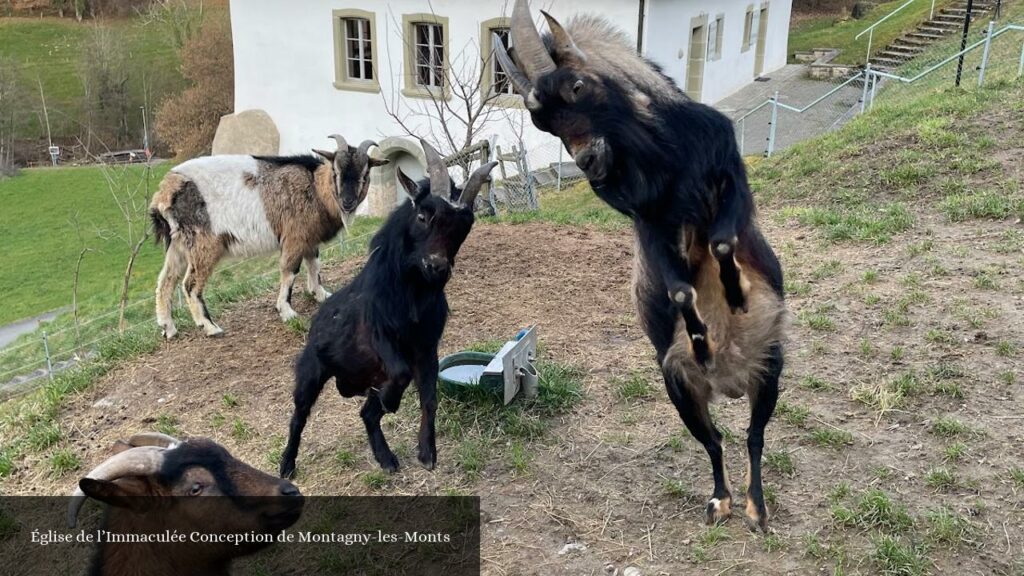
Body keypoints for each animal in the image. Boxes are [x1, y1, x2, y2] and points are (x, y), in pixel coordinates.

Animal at [151, 134, 387, 336]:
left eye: (365, 174)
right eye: (335, 172)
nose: (347, 202)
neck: (315, 188)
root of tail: (164, 192)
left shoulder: (308, 238)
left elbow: (314, 264)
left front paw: (320, 294)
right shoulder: (295, 237)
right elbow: (290, 271)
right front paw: (287, 311)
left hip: (179, 244)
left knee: (165, 282)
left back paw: (168, 328)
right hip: (203, 244)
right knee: (190, 285)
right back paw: (209, 327)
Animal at [280, 139, 495, 475]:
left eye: (465, 226)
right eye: (423, 216)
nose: (436, 267)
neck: (410, 296)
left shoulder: (426, 346)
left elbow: (429, 396)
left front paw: (427, 453)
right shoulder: (380, 337)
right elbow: (401, 374)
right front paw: (391, 402)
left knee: (366, 413)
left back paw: (386, 457)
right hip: (311, 371)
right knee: (299, 416)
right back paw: (287, 465)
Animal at [495, 0, 790, 528]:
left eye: (577, 86)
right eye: (542, 123)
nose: (589, 163)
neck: (668, 166)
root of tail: (732, 385)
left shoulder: (727, 175)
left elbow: (721, 245)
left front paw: (736, 295)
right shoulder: (652, 226)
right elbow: (679, 290)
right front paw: (702, 341)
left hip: (770, 369)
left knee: (754, 437)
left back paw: (756, 507)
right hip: (681, 390)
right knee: (715, 441)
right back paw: (721, 500)